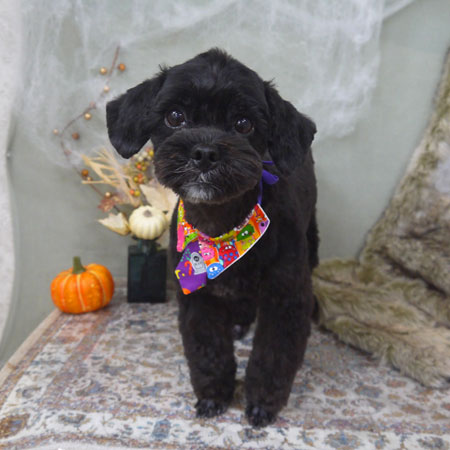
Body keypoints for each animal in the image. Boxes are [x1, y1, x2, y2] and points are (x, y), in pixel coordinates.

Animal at [106, 48, 318, 427]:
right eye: (175, 116)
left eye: (244, 124)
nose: (204, 152)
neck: (223, 229)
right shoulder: (197, 295)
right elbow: (207, 350)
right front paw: (214, 396)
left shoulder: (286, 298)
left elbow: (274, 355)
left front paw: (262, 404)